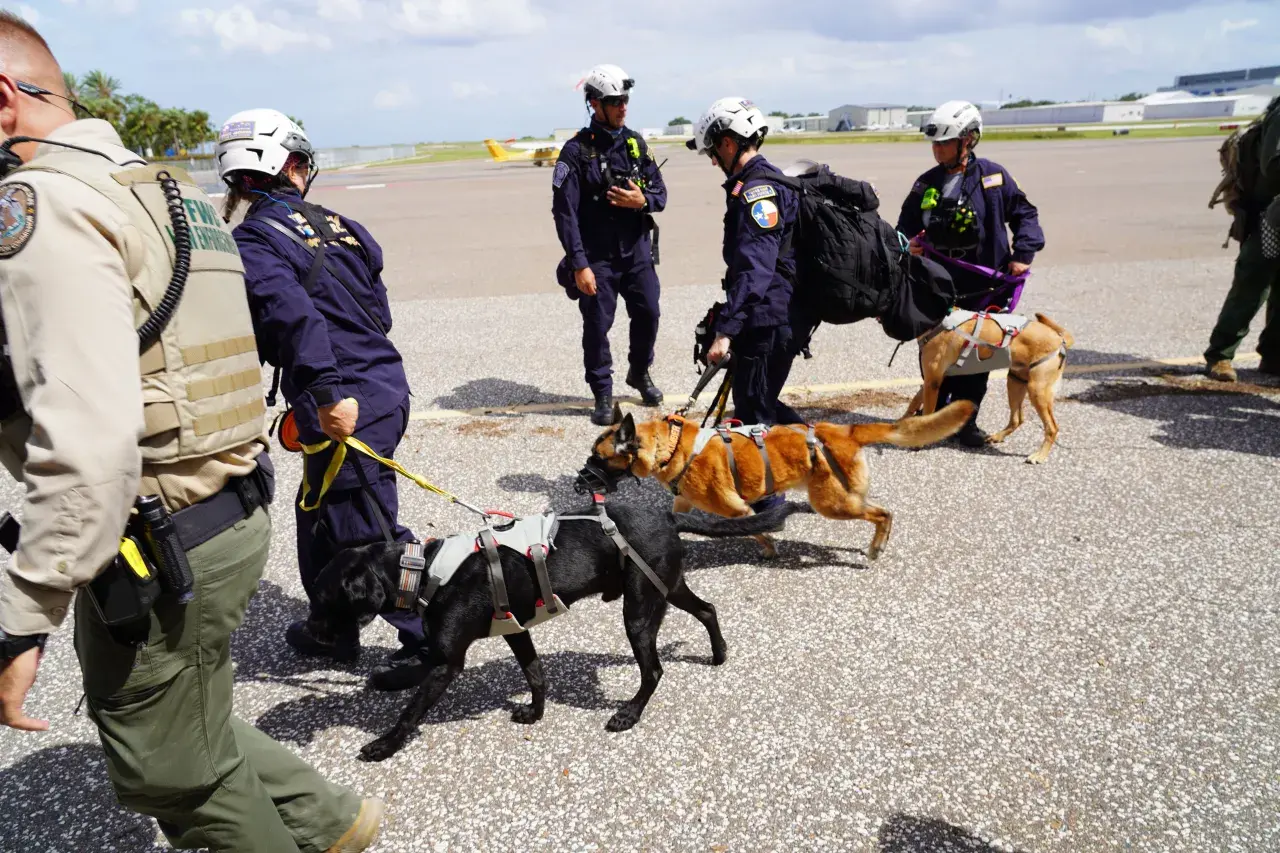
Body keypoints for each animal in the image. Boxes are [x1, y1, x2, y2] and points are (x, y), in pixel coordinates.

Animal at [299, 494, 808, 758]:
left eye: (320, 599)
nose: (310, 634)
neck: (422, 569)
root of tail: (666, 513)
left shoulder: (447, 662)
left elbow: (411, 711)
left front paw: (384, 744)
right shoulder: (516, 630)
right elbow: (536, 675)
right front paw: (535, 712)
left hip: (639, 609)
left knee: (654, 670)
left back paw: (629, 714)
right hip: (666, 587)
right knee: (708, 609)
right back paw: (719, 653)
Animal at [588, 399, 967, 558]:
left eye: (599, 458)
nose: (582, 477)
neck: (669, 446)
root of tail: (842, 431)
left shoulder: (737, 509)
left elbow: (757, 530)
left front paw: (769, 547)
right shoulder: (683, 501)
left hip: (832, 504)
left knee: (883, 513)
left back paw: (877, 546)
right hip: (842, 498)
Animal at [906, 308, 1075, 461]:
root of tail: (1059, 339)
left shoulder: (933, 382)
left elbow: (926, 414)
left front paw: (918, 440)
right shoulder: (929, 381)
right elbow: (913, 403)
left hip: (1037, 391)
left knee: (1052, 427)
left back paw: (1039, 455)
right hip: (1015, 383)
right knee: (1017, 419)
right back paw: (998, 436)